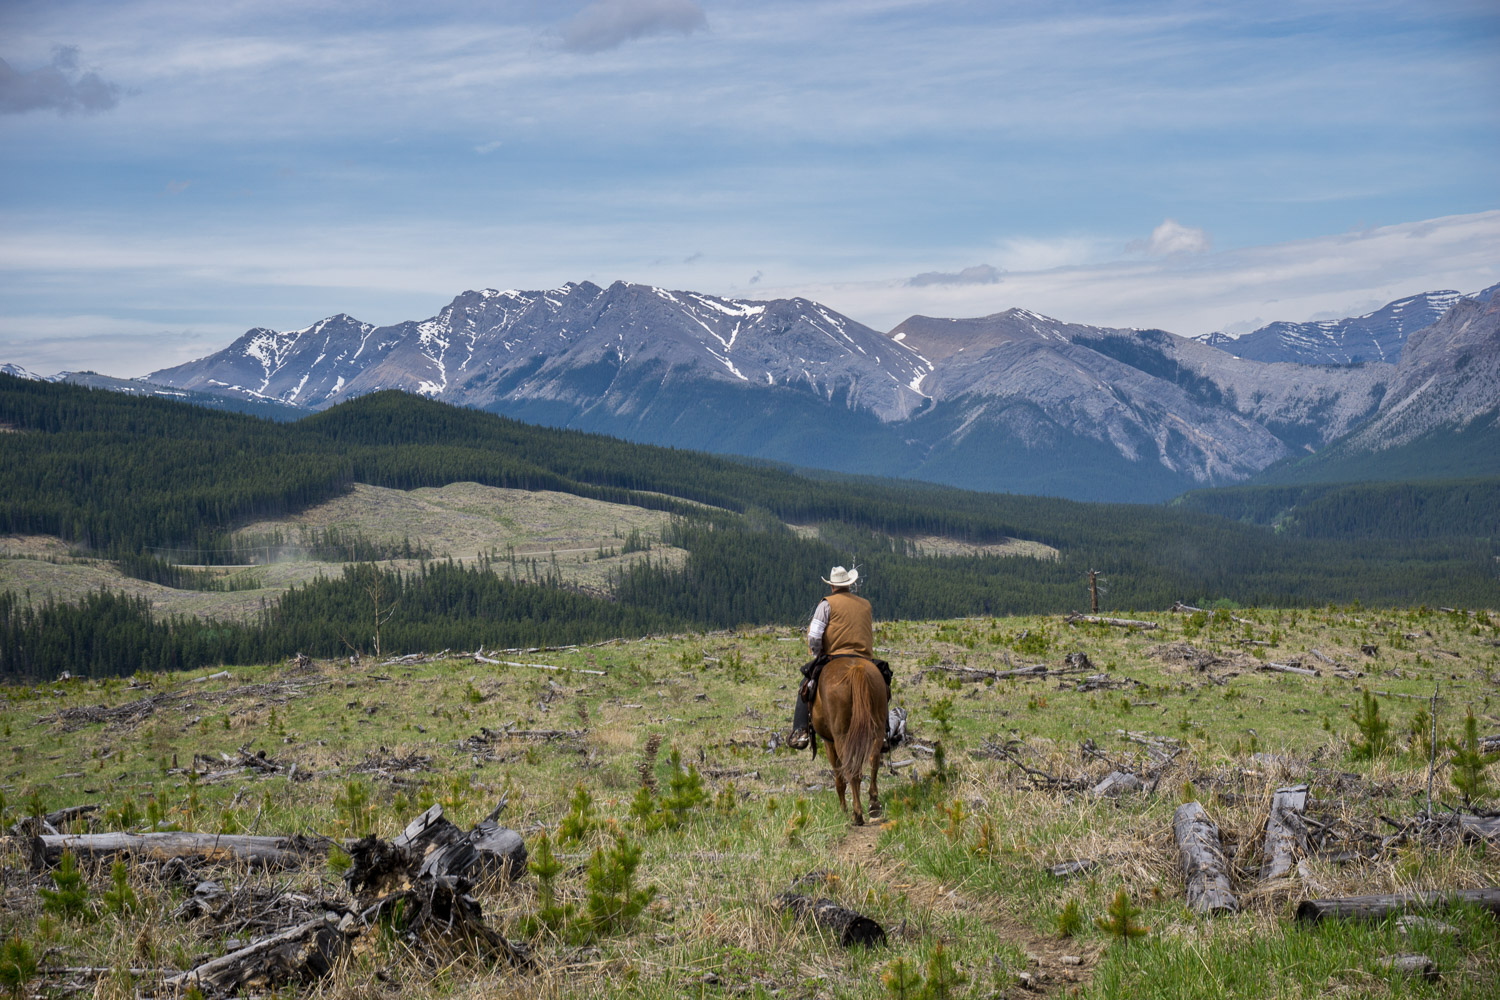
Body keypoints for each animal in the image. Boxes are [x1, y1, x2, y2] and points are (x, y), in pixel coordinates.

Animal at [816, 656, 882, 821]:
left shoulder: (829, 743)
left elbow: (839, 777)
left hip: (841, 737)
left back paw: (856, 813)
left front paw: (843, 809)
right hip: (877, 729)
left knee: (849, 771)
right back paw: (873, 804)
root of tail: (855, 669)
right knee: (873, 759)